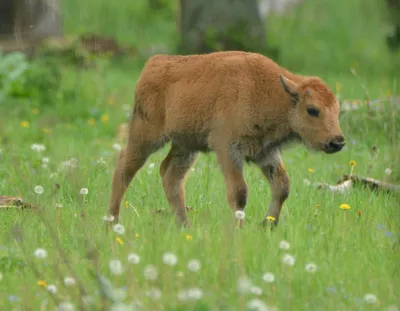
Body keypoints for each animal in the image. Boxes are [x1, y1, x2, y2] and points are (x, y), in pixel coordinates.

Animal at [108, 50, 346, 227]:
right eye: (313, 110)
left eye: (337, 110)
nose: (337, 141)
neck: (274, 92)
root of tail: (153, 63)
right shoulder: (228, 149)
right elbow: (239, 192)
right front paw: (239, 228)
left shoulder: (266, 152)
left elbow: (282, 186)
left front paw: (268, 225)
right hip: (146, 136)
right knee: (125, 168)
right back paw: (111, 222)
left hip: (186, 146)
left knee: (170, 175)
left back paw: (184, 225)